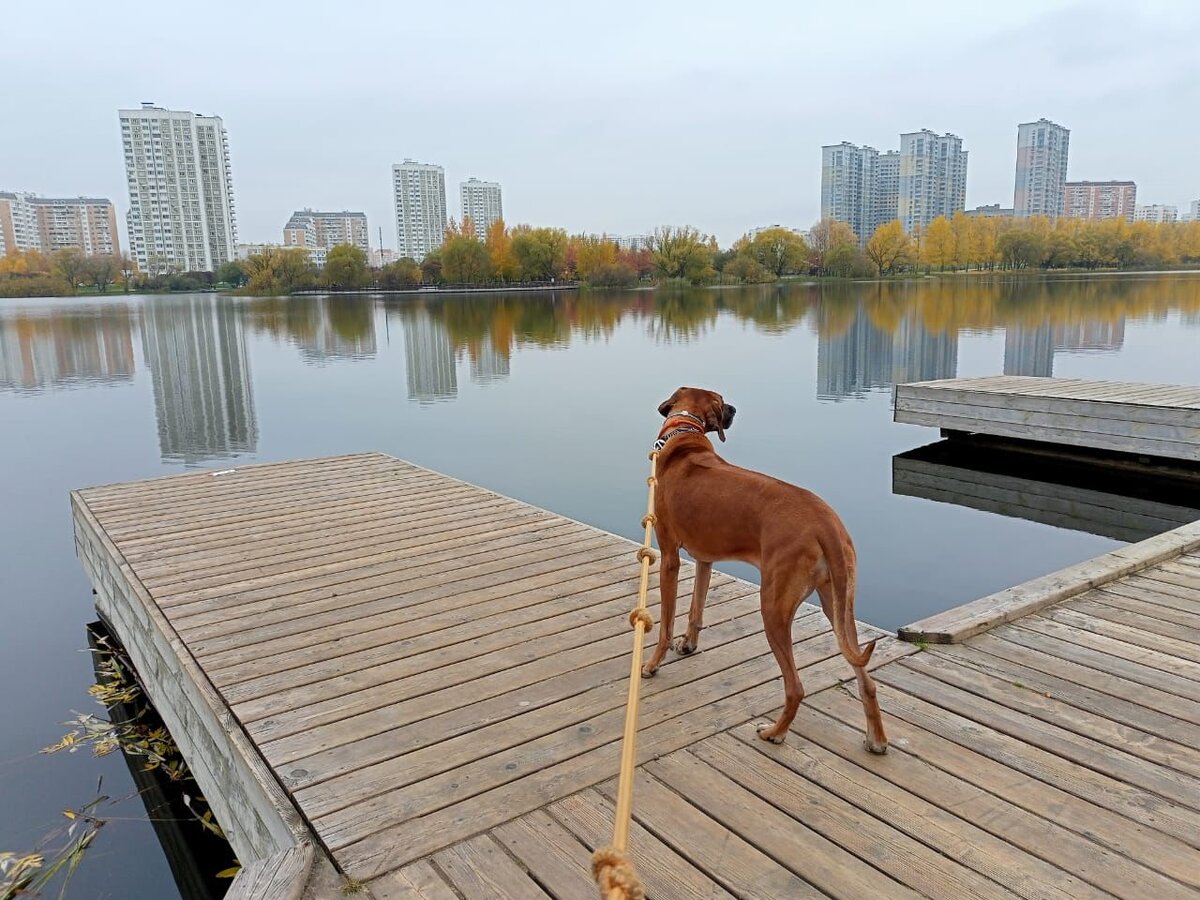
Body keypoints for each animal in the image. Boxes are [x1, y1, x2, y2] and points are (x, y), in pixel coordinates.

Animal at [643, 388, 888, 753]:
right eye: (722, 399)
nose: (734, 409)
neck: (685, 435)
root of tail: (826, 524)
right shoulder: (705, 559)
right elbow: (696, 609)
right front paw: (688, 644)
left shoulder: (670, 556)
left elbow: (666, 623)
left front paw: (652, 664)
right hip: (838, 604)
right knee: (865, 678)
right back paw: (876, 739)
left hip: (773, 606)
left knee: (795, 687)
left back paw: (775, 732)